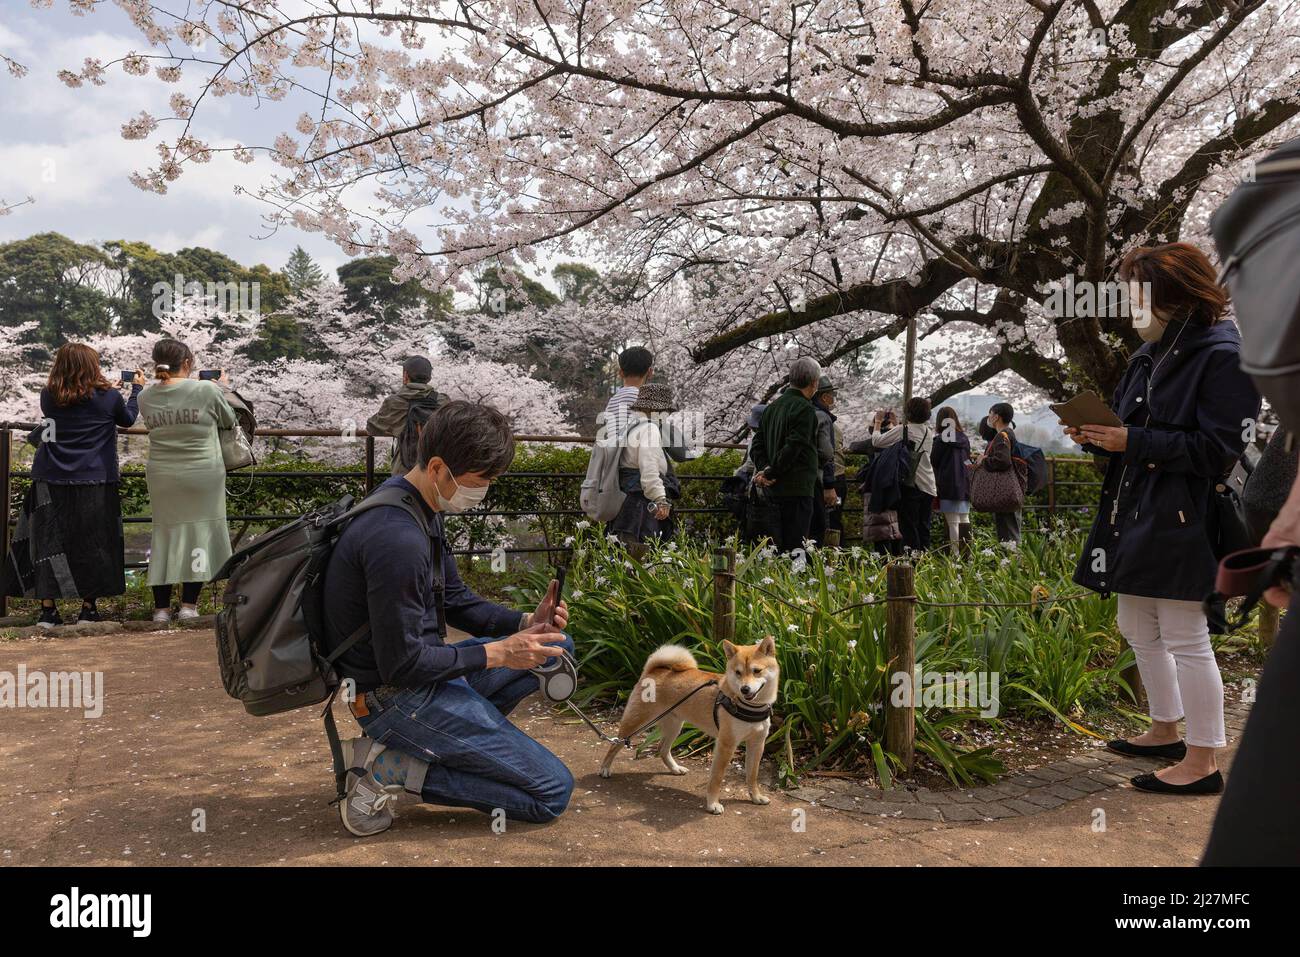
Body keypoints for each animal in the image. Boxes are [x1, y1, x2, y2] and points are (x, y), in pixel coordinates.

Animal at [600, 634, 774, 816]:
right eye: (737, 672)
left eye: (757, 671)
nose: (745, 689)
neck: (749, 705)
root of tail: (653, 670)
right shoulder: (726, 744)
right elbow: (716, 778)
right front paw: (712, 804)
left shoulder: (757, 743)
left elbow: (752, 775)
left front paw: (756, 797)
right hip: (639, 721)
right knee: (616, 743)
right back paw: (605, 768)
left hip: (674, 726)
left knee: (662, 748)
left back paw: (675, 768)